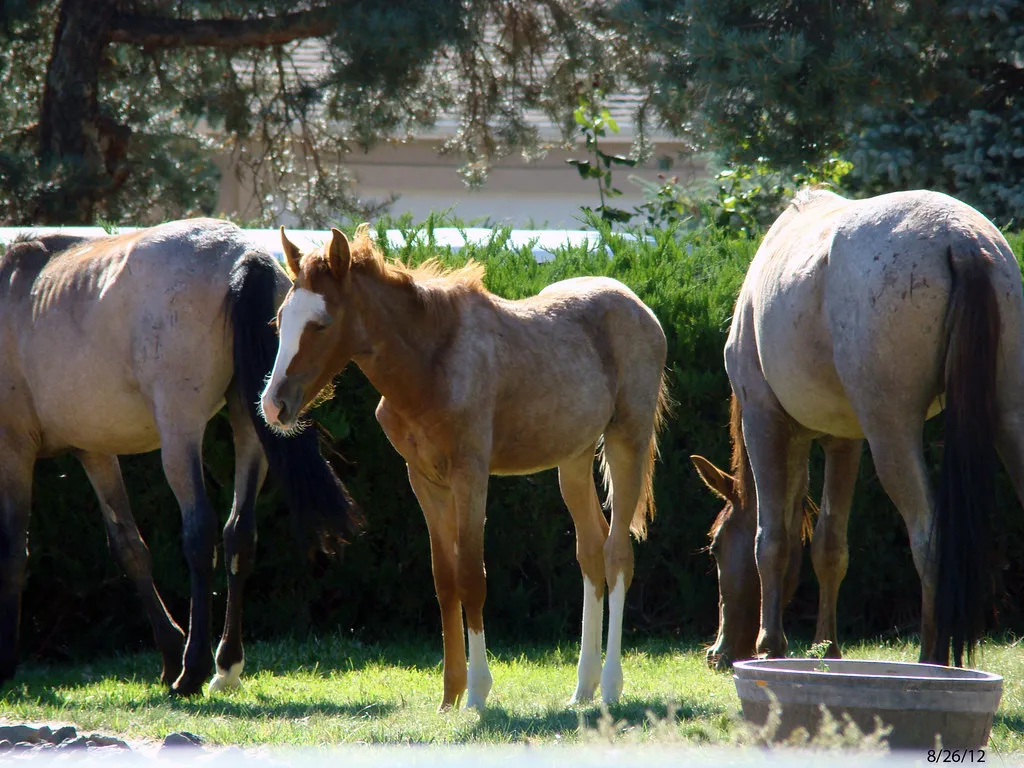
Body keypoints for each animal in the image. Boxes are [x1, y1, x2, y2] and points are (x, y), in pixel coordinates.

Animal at [0, 220, 361, 696]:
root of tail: (241, 251)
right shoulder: (94, 450)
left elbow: (13, 552)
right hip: (251, 423)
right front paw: (169, 651)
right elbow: (129, 548)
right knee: (239, 533)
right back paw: (225, 665)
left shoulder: (14, 447)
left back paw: (194, 669)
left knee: (200, 532)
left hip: (179, 433)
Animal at [259, 224, 669, 710]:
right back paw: (582, 686)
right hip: (574, 458)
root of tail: (640, 307)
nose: (274, 406)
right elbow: (445, 578)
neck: (431, 365)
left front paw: (476, 692)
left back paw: (608, 685)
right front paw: (449, 693)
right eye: (280, 320)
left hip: (627, 441)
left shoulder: (470, 473)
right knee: (589, 551)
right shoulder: (425, 480)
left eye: (321, 324)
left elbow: (472, 575)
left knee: (616, 553)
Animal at [690, 189, 1024, 670]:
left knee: (928, 538)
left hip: (892, 432)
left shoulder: (764, 419)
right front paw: (826, 645)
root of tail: (960, 237)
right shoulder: (842, 440)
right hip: (1008, 416)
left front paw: (770, 645)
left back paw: (930, 657)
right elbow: (829, 544)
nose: (716, 652)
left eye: (715, 547)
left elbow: (770, 539)